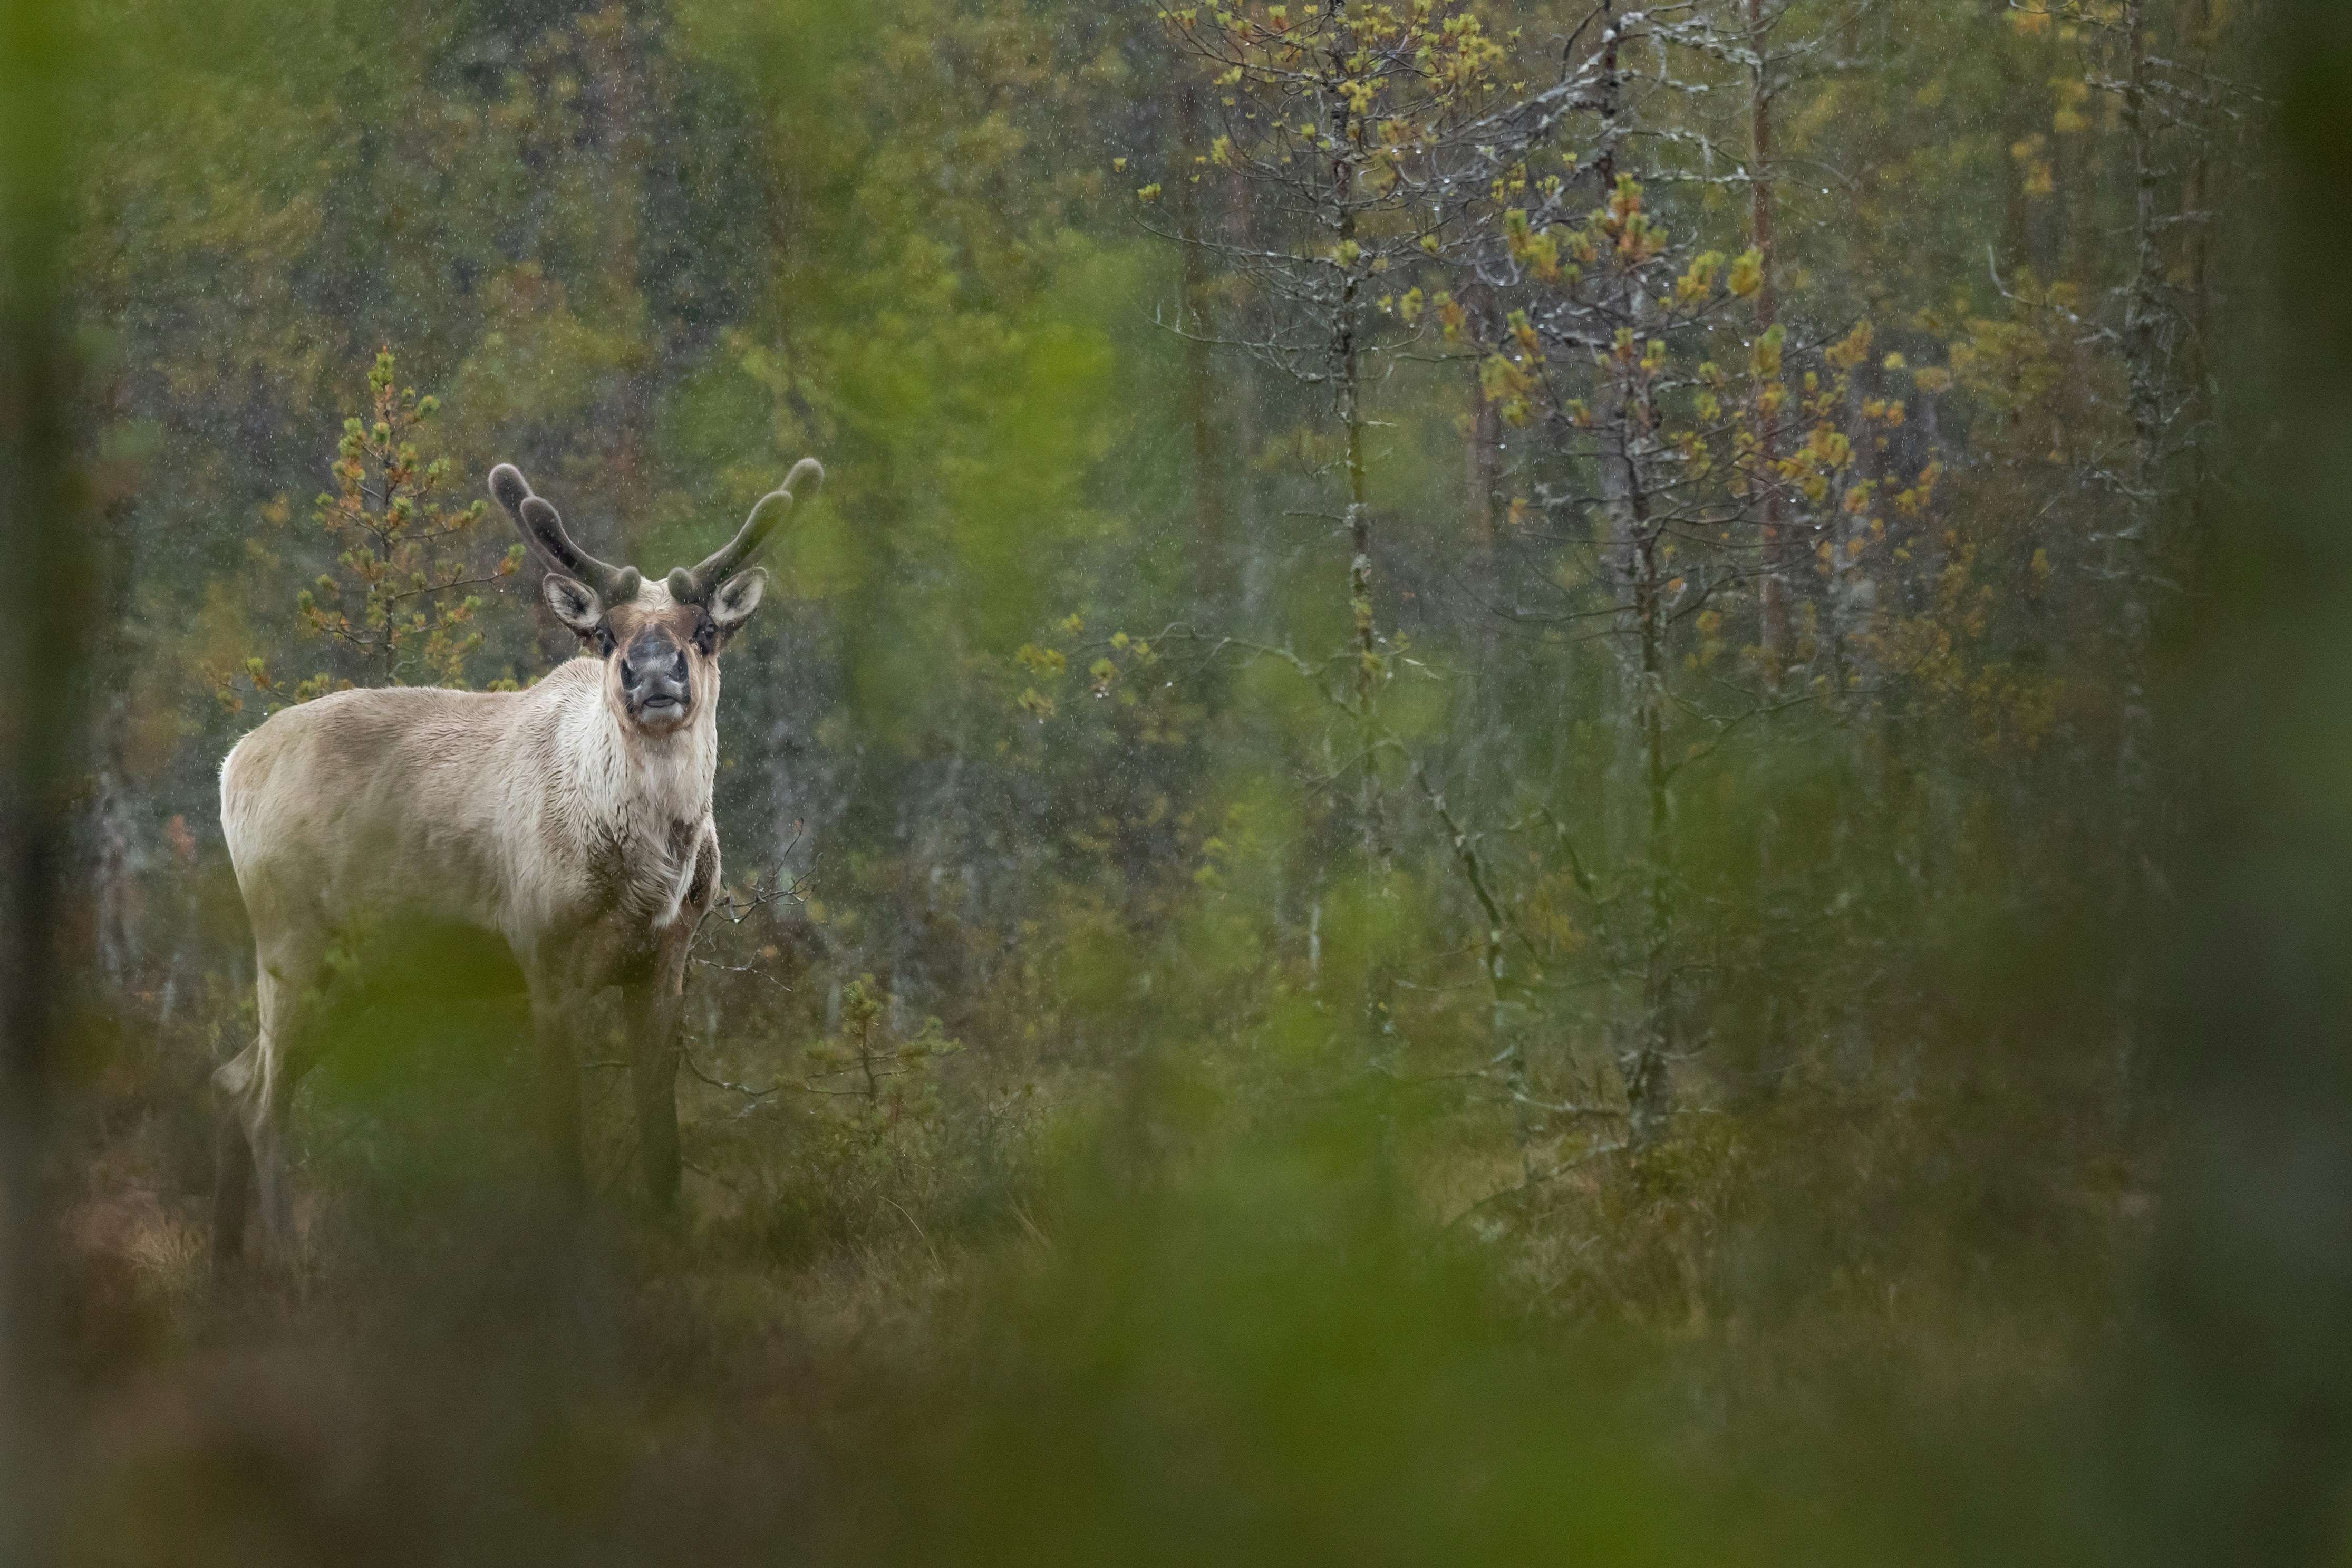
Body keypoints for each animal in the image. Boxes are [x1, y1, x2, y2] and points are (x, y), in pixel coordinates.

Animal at [210, 457, 822, 1262]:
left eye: (707, 629)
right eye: (604, 634)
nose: (654, 673)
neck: (649, 877)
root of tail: (229, 769)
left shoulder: (666, 960)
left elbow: (663, 1138)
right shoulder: (543, 953)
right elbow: (564, 1139)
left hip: (355, 977)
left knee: (232, 1077)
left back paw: (230, 1258)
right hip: (291, 947)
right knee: (261, 1102)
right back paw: (288, 1255)